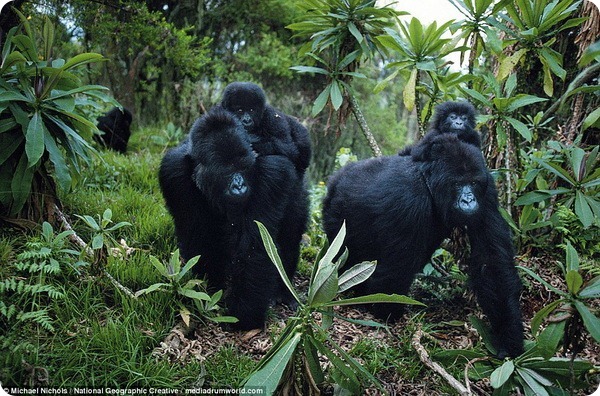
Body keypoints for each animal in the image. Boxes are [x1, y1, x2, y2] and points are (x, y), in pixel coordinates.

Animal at [159, 106, 310, 330]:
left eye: (243, 167)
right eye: (227, 171)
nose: (239, 186)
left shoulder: (273, 173)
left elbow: (254, 247)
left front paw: (244, 315)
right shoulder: (173, 172)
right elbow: (197, 237)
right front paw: (210, 289)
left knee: (290, 236)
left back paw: (284, 292)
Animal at [322, 134, 524, 358]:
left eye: (473, 182)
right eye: (457, 183)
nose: (468, 200)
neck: (429, 180)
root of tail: (338, 176)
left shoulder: (487, 193)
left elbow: (492, 262)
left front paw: (508, 336)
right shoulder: (411, 200)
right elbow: (396, 269)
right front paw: (386, 311)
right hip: (336, 214)